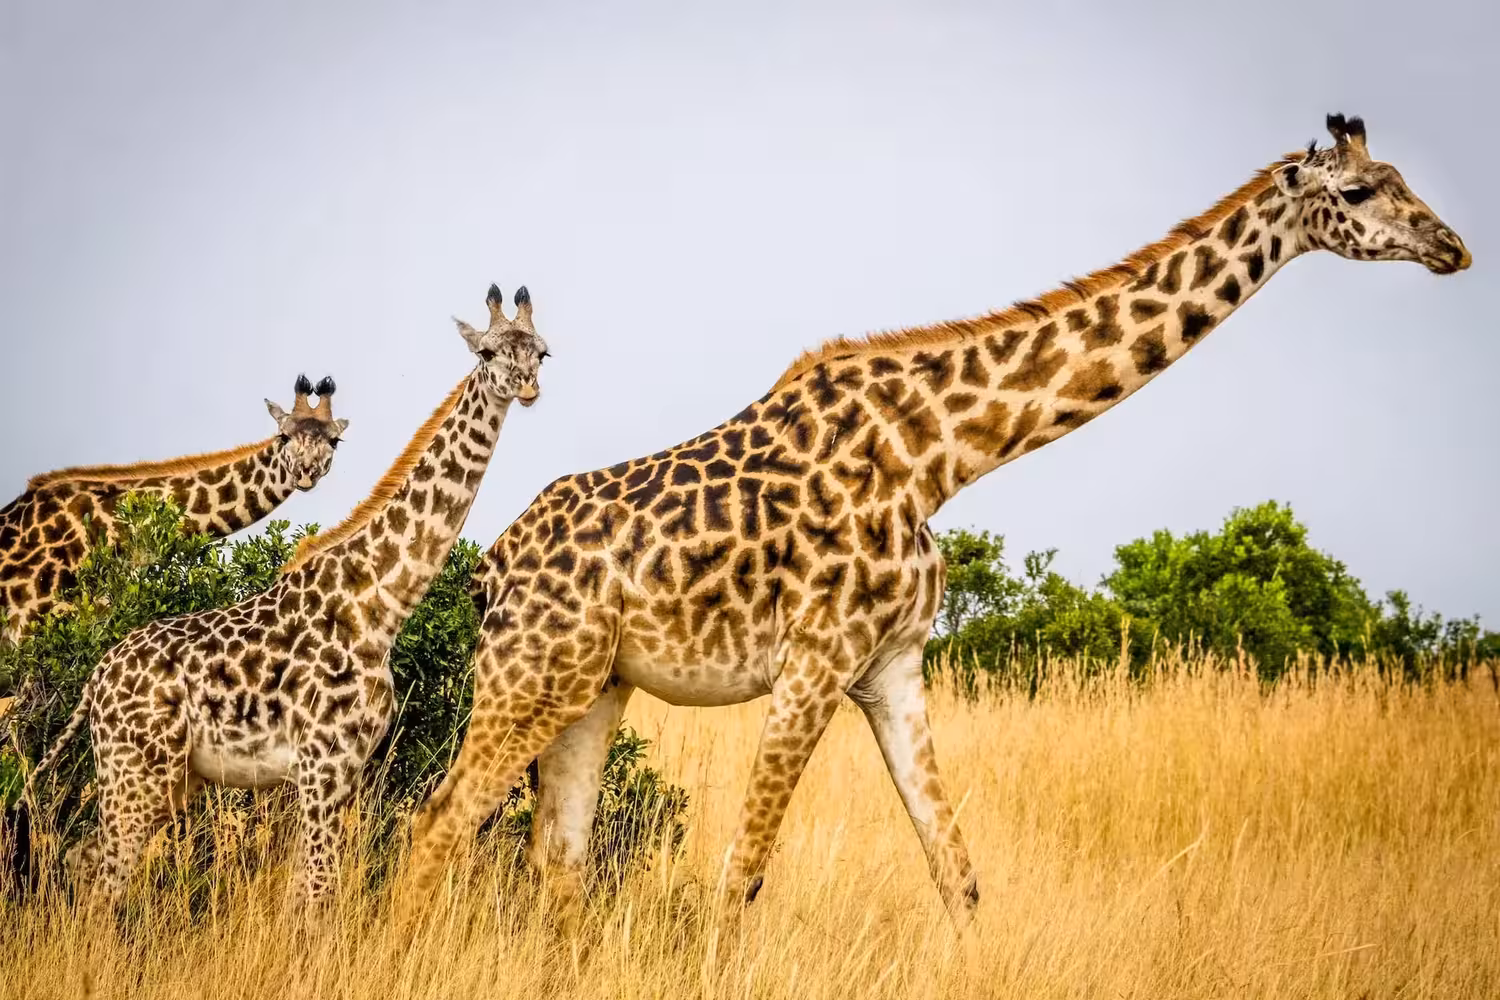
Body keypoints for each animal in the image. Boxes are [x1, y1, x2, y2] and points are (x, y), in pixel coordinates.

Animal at [394, 114, 1468, 928]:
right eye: (1361, 193)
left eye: (1402, 178)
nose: (1451, 247)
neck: (940, 458)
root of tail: (488, 568)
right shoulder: (815, 663)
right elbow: (740, 875)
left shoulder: (894, 667)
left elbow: (957, 873)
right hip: (528, 678)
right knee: (436, 824)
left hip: (593, 687)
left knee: (559, 855)